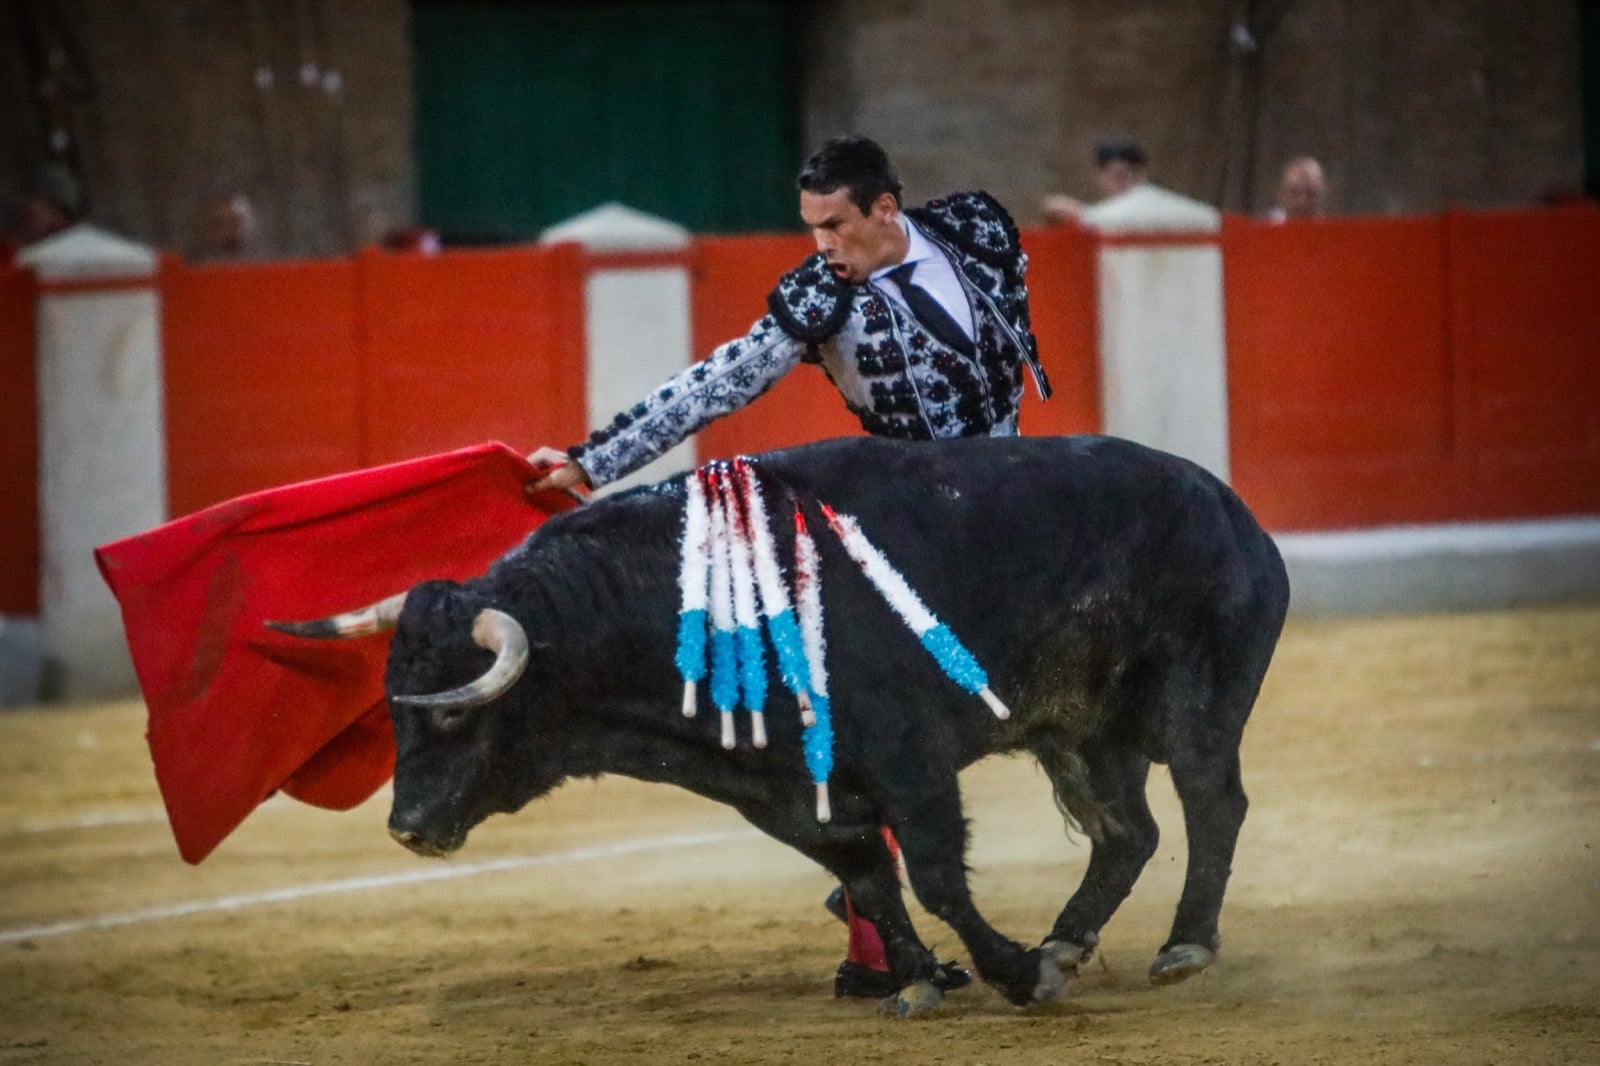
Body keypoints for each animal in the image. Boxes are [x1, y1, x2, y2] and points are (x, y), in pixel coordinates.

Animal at [318, 432, 1292, 1005]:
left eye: (453, 718)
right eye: (396, 710)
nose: (407, 827)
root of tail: (1232, 508)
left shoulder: (910, 760)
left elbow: (934, 875)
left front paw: (1016, 973)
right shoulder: (787, 793)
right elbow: (869, 877)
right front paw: (920, 980)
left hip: (1195, 701)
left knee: (1212, 804)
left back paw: (1183, 946)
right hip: (1081, 732)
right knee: (1126, 831)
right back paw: (1071, 935)